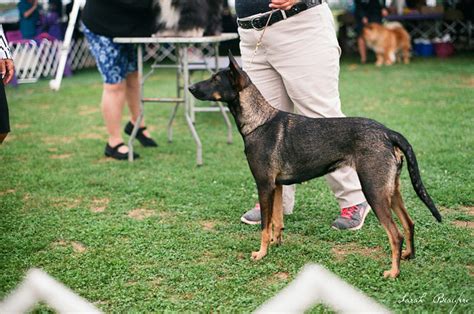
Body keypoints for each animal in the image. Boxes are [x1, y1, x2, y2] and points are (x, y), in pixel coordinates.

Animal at [188, 54, 440, 280]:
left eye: (215, 79)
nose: (190, 87)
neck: (259, 120)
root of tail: (388, 132)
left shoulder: (264, 185)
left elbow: (264, 226)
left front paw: (261, 253)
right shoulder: (276, 186)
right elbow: (277, 221)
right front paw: (276, 243)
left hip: (374, 192)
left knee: (395, 235)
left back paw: (394, 272)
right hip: (392, 191)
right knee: (409, 223)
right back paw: (408, 255)